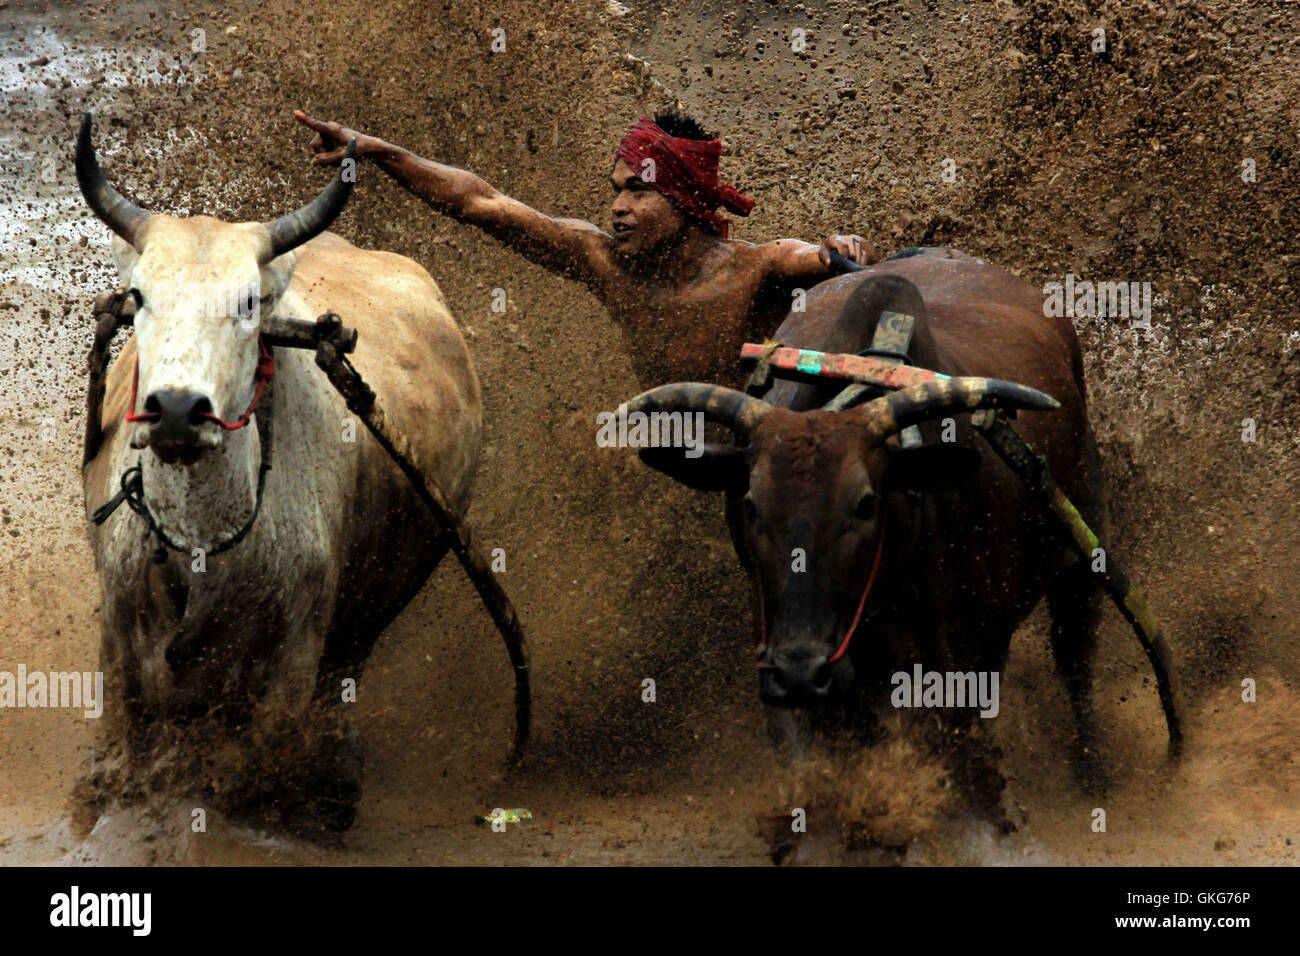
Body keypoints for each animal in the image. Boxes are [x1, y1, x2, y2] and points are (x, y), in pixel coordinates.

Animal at [72, 115, 478, 837]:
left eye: (249, 302)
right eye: (140, 296)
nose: (177, 409)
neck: (203, 545)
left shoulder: (291, 666)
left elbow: (248, 777)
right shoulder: (119, 649)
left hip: (363, 627)